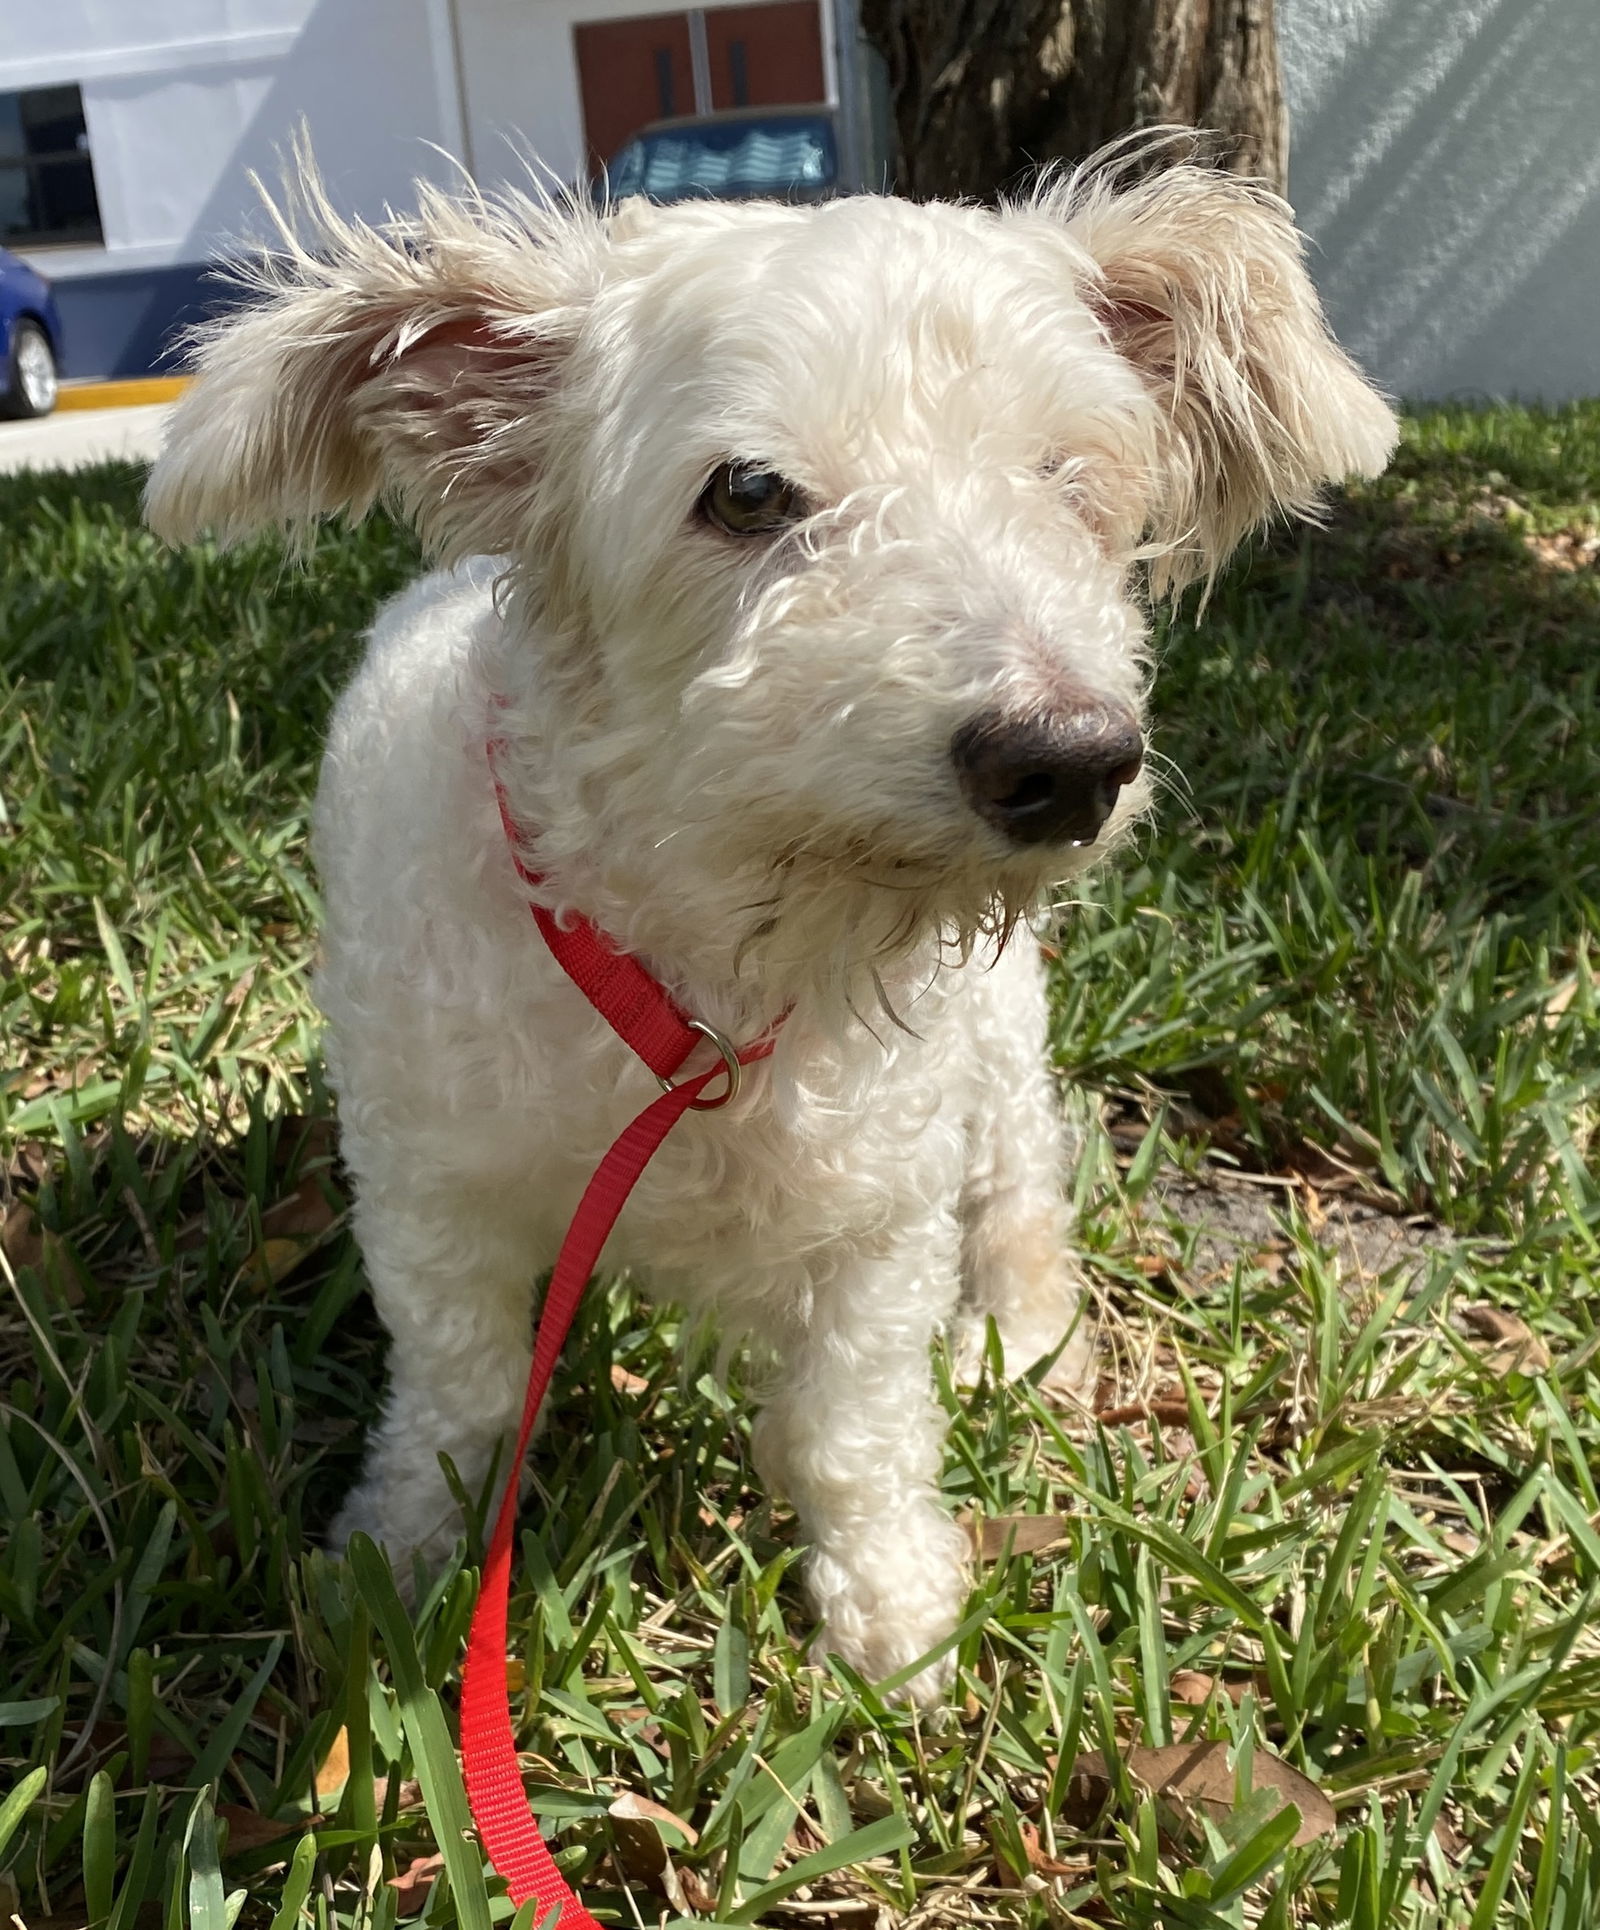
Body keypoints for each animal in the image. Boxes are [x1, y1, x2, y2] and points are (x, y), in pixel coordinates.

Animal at [149, 142, 1397, 1698]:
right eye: (746, 491)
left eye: (1069, 481)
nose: (1067, 761)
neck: (710, 971)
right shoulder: (431, 1186)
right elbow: (462, 1390)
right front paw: (399, 1556)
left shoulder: (881, 1212)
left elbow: (849, 1422)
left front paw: (893, 1602)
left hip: (997, 1048)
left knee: (1022, 1191)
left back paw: (1022, 1335)